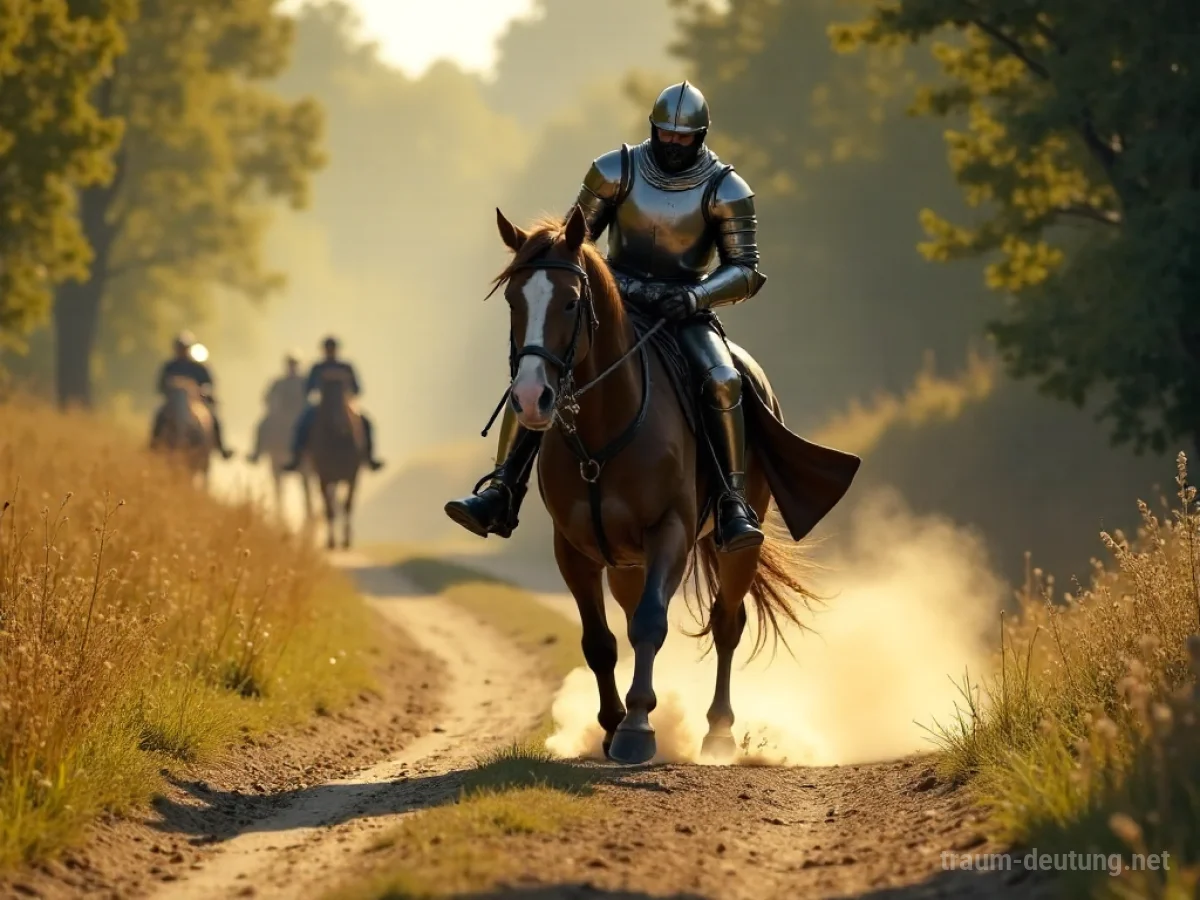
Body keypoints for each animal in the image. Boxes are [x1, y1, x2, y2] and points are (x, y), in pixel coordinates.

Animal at [304, 372, 364, 550]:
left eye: (344, 394)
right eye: (325, 397)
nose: (340, 425)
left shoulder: (353, 475)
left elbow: (347, 505)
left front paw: (346, 540)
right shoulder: (323, 477)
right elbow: (329, 508)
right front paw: (331, 542)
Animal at [491, 205, 855, 765]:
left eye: (571, 302)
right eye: (513, 299)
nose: (531, 399)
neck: (604, 427)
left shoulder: (671, 532)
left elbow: (650, 624)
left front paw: (637, 728)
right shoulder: (573, 548)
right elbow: (599, 641)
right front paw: (611, 725)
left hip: (736, 542)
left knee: (727, 622)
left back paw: (719, 733)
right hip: (624, 562)